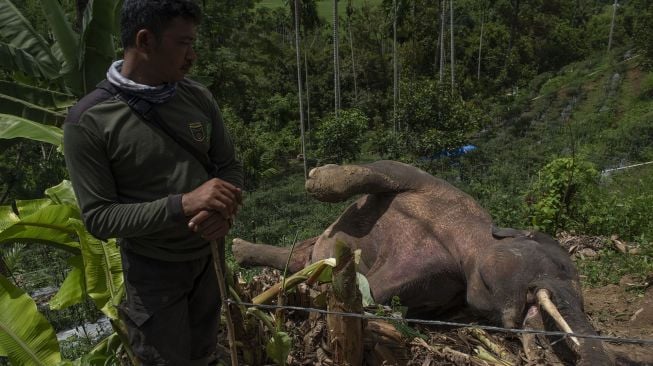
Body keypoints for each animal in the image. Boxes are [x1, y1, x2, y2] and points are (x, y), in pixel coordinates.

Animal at [233, 161, 612, 366]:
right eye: (561, 268)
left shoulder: (441, 282)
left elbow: (383, 296)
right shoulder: (426, 182)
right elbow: (385, 170)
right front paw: (314, 178)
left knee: (300, 259)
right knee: (300, 253)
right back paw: (239, 249)